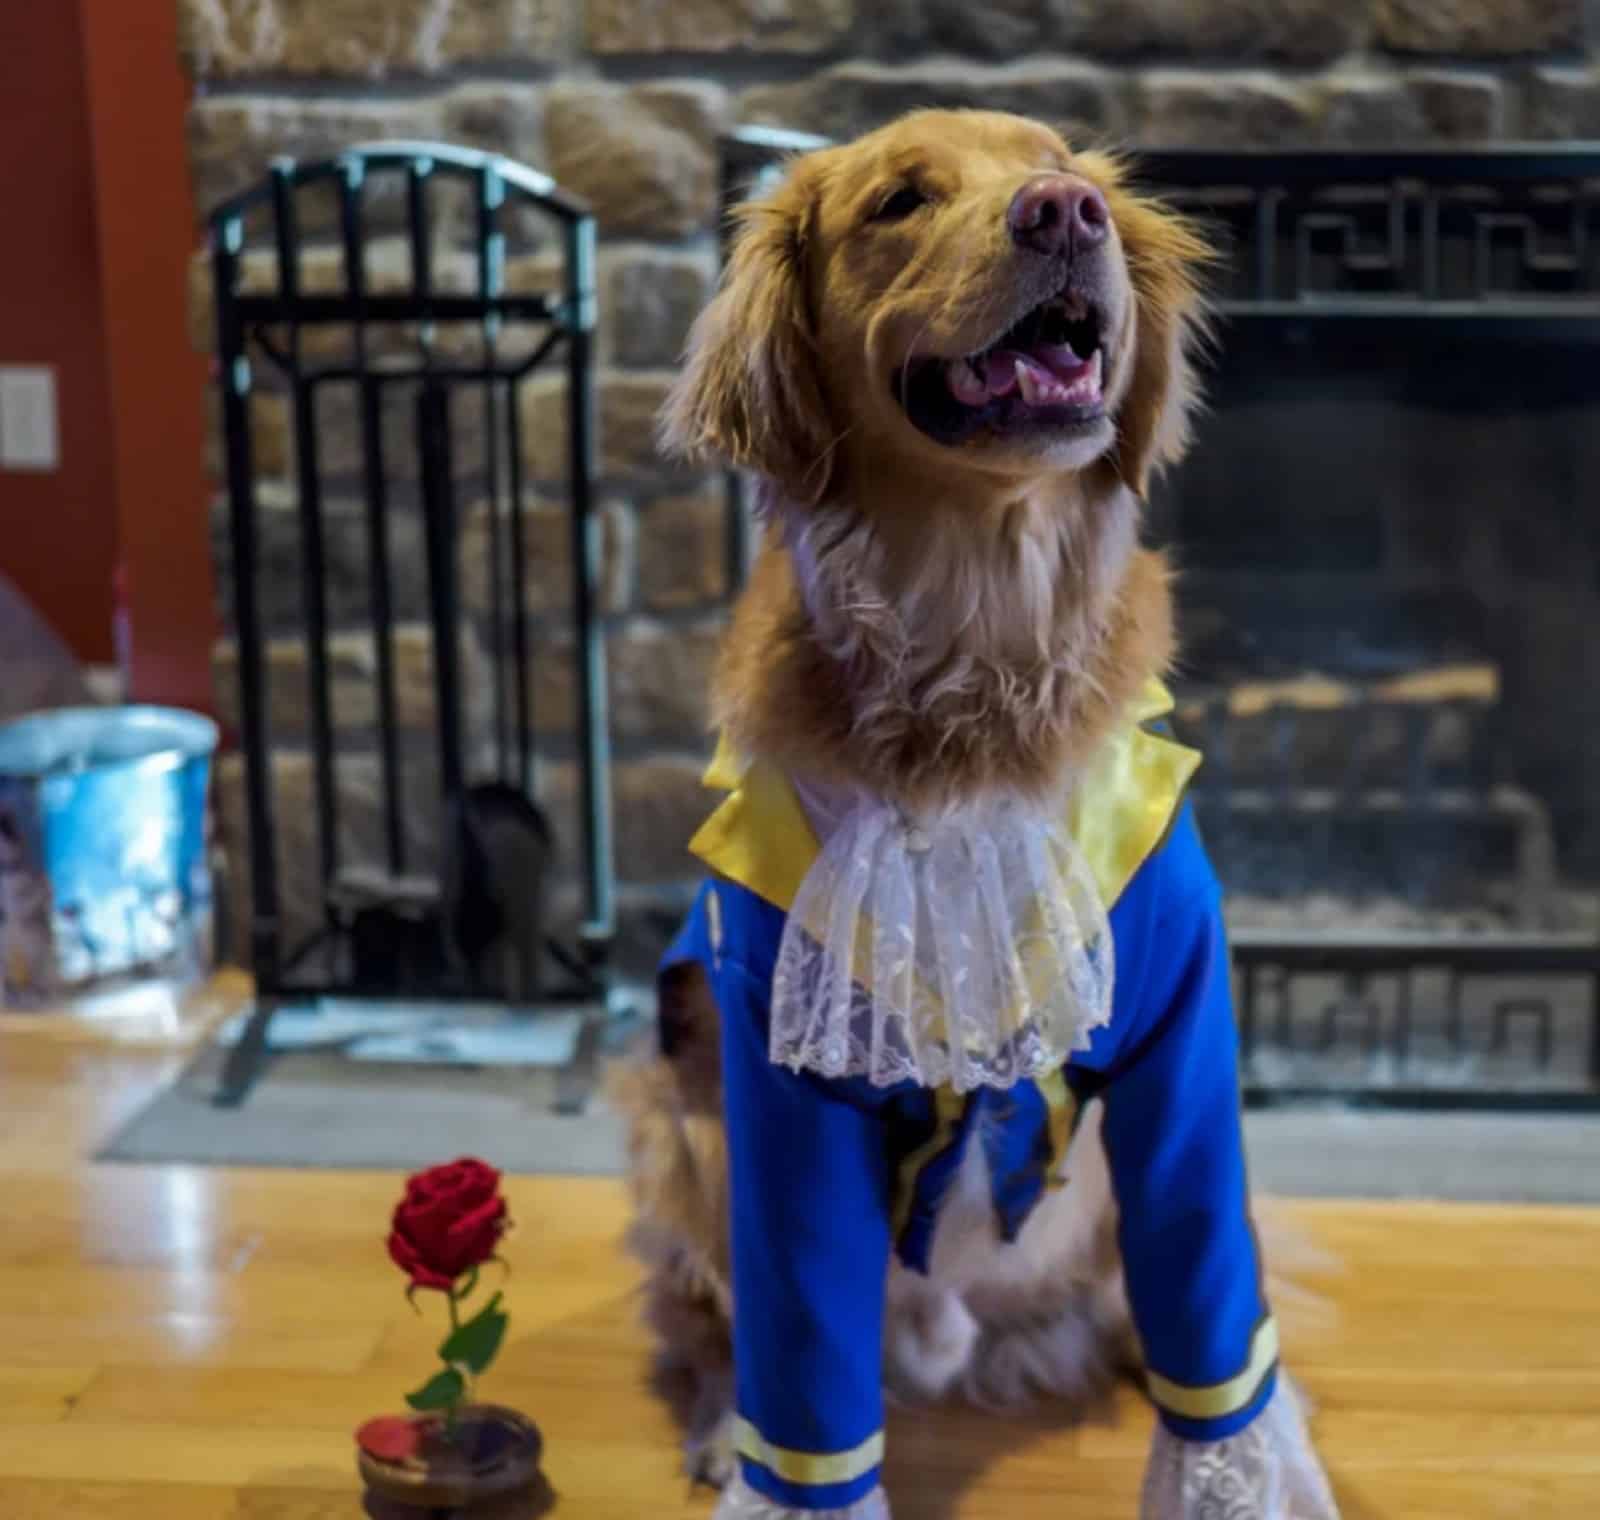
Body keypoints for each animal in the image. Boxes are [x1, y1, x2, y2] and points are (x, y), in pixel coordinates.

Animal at [604, 110, 1331, 1520]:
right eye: (898, 201)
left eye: (1066, 174)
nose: (1063, 214)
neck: (977, 641)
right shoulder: (778, 1075)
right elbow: (803, 1368)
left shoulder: (1179, 1026)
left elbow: (1213, 1296)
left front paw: (1235, 1473)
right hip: (680, 1110)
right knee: (721, 1327)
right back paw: (722, 1427)